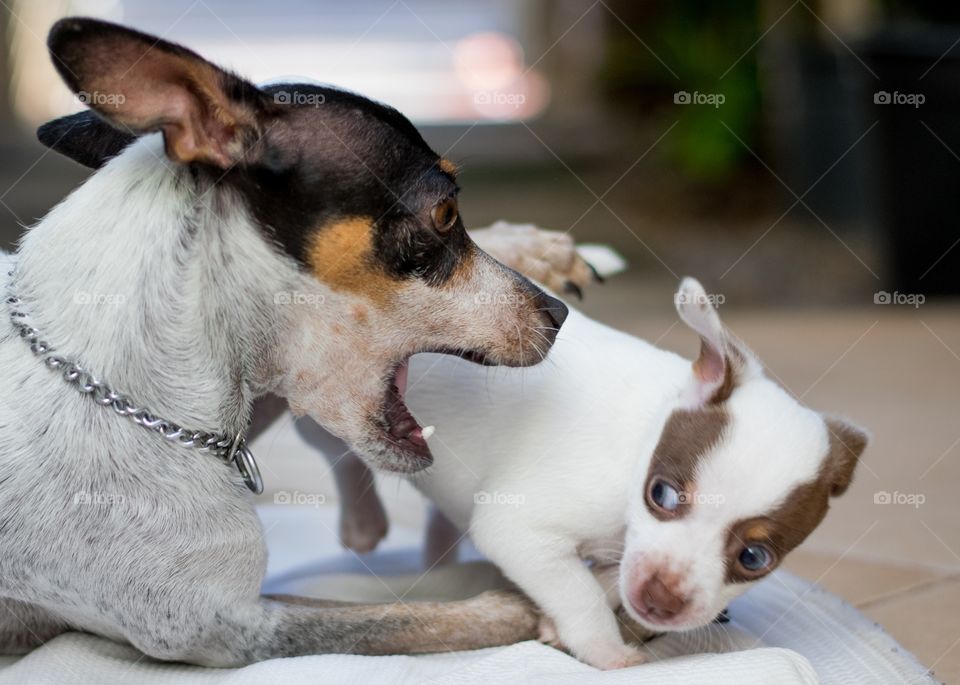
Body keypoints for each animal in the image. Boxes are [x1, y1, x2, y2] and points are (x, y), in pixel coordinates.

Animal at [0, 18, 600, 664]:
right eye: (443, 212)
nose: (557, 314)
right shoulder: (228, 628)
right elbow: (400, 621)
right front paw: (518, 606)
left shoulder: (247, 407)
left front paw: (535, 247)